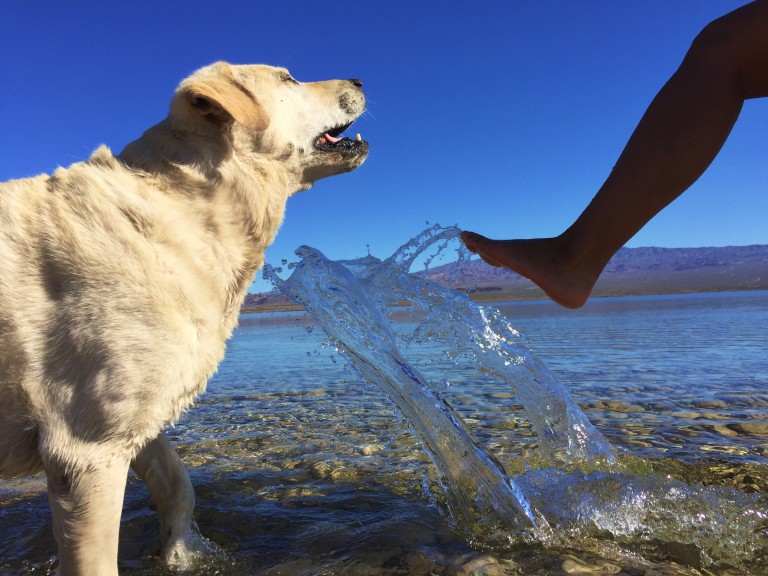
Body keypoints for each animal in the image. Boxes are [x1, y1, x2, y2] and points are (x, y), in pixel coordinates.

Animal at [0, 60, 368, 572]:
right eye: (288, 79)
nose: (359, 81)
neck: (187, 211)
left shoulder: (134, 414)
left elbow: (179, 485)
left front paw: (180, 551)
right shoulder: (85, 450)